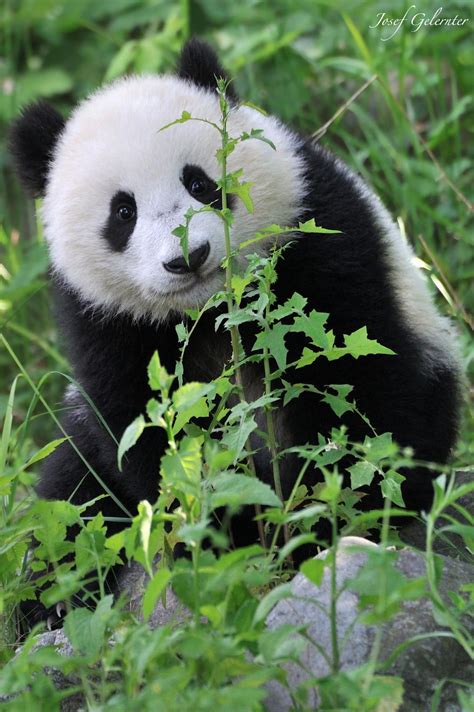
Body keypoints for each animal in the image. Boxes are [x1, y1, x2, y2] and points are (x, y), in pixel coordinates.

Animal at [9, 37, 462, 624]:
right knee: (73, 505)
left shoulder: (315, 235)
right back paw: (50, 604)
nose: (189, 258)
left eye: (200, 182)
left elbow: (345, 385)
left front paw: (312, 523)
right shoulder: (106, 321)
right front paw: (228, 534)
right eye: (123, 212)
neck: (209, 310)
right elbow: (146, 431)